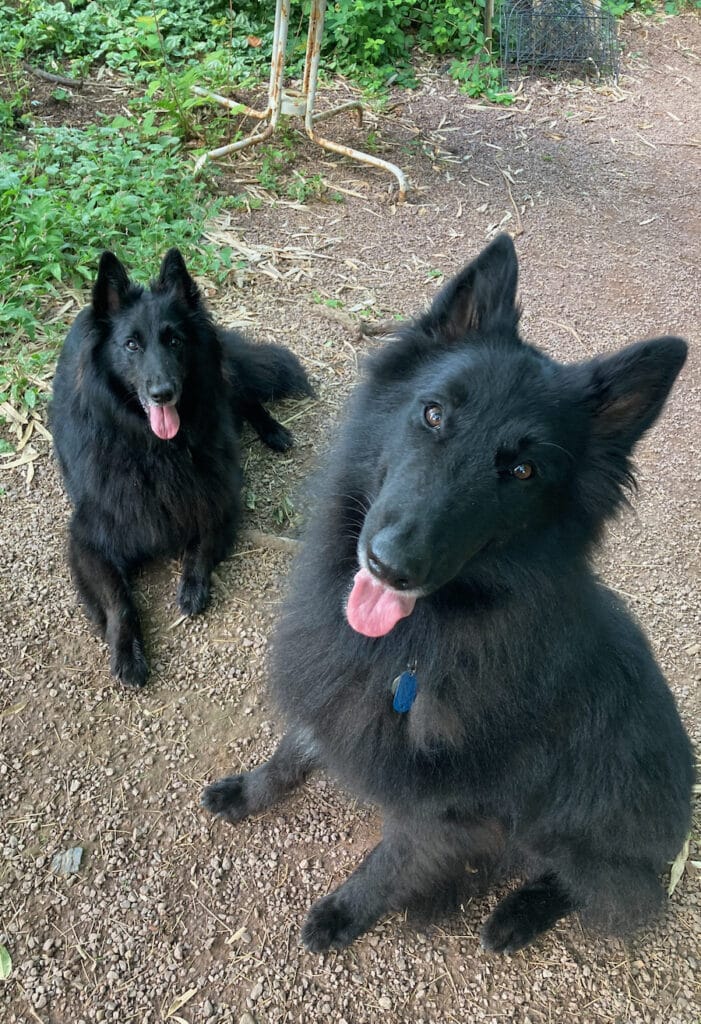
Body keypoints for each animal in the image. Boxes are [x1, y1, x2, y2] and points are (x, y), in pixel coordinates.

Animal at [54, 247, 315, 688]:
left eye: (174, 340)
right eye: (131, 345)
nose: (164, 393)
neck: (155, 450)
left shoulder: (218, 495)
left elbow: (202, 542)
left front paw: (193, 585)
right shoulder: (90, 541)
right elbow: (118, 600)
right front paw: (127, 653)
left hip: (223, 380)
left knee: (246, 398)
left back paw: (274, 431)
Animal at [203, 237, 695, 950]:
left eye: (522, 470)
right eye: (434, 414)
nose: (390, 565)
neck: (413, 643)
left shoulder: (444, 816)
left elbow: (388, 864)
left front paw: (341, 915)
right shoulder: (335, 693)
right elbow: (293, 748)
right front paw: (249, 791)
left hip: (574, 842)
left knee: (593, 890)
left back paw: (518, 915)